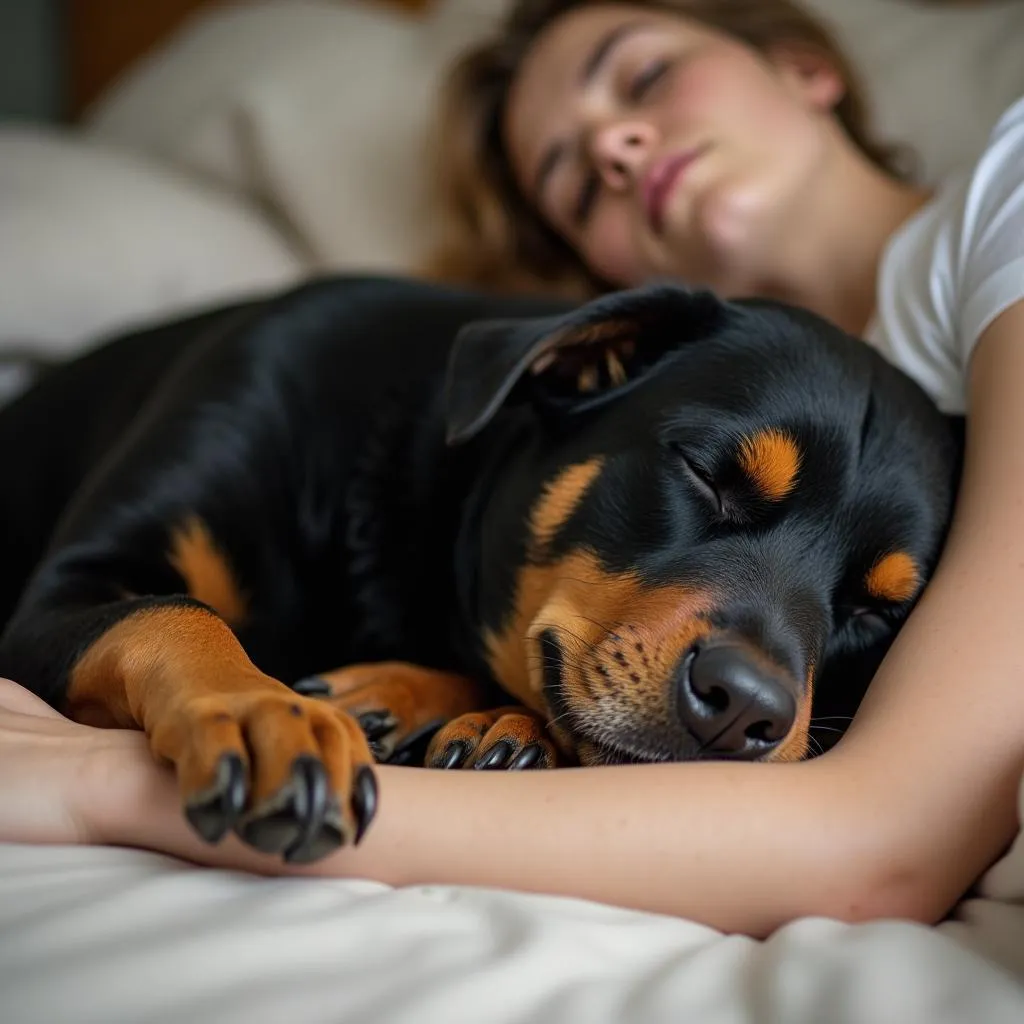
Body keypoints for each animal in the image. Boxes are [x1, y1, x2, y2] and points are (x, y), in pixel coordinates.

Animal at [0, 274, 958, 864]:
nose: (745, 711)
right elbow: (173, 611)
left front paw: (484, 719)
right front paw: (262, 712)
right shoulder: (59, 593)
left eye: (877, 612)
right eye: (705, 474)